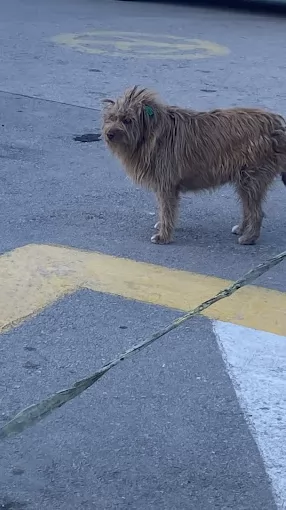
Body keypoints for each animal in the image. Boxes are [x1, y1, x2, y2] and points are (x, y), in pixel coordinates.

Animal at [101, 85, 284, 245]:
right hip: (244, 181)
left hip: (252, 179)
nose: (109, 134)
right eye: (112, 118)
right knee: (248, 208)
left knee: (257, 212)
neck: (153, 133)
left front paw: (163, 235)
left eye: (127, 120)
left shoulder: (166, 184)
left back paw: (249, 238)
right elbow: (166, 209)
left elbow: (166, 210)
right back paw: (242, 229)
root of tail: (276, 126)